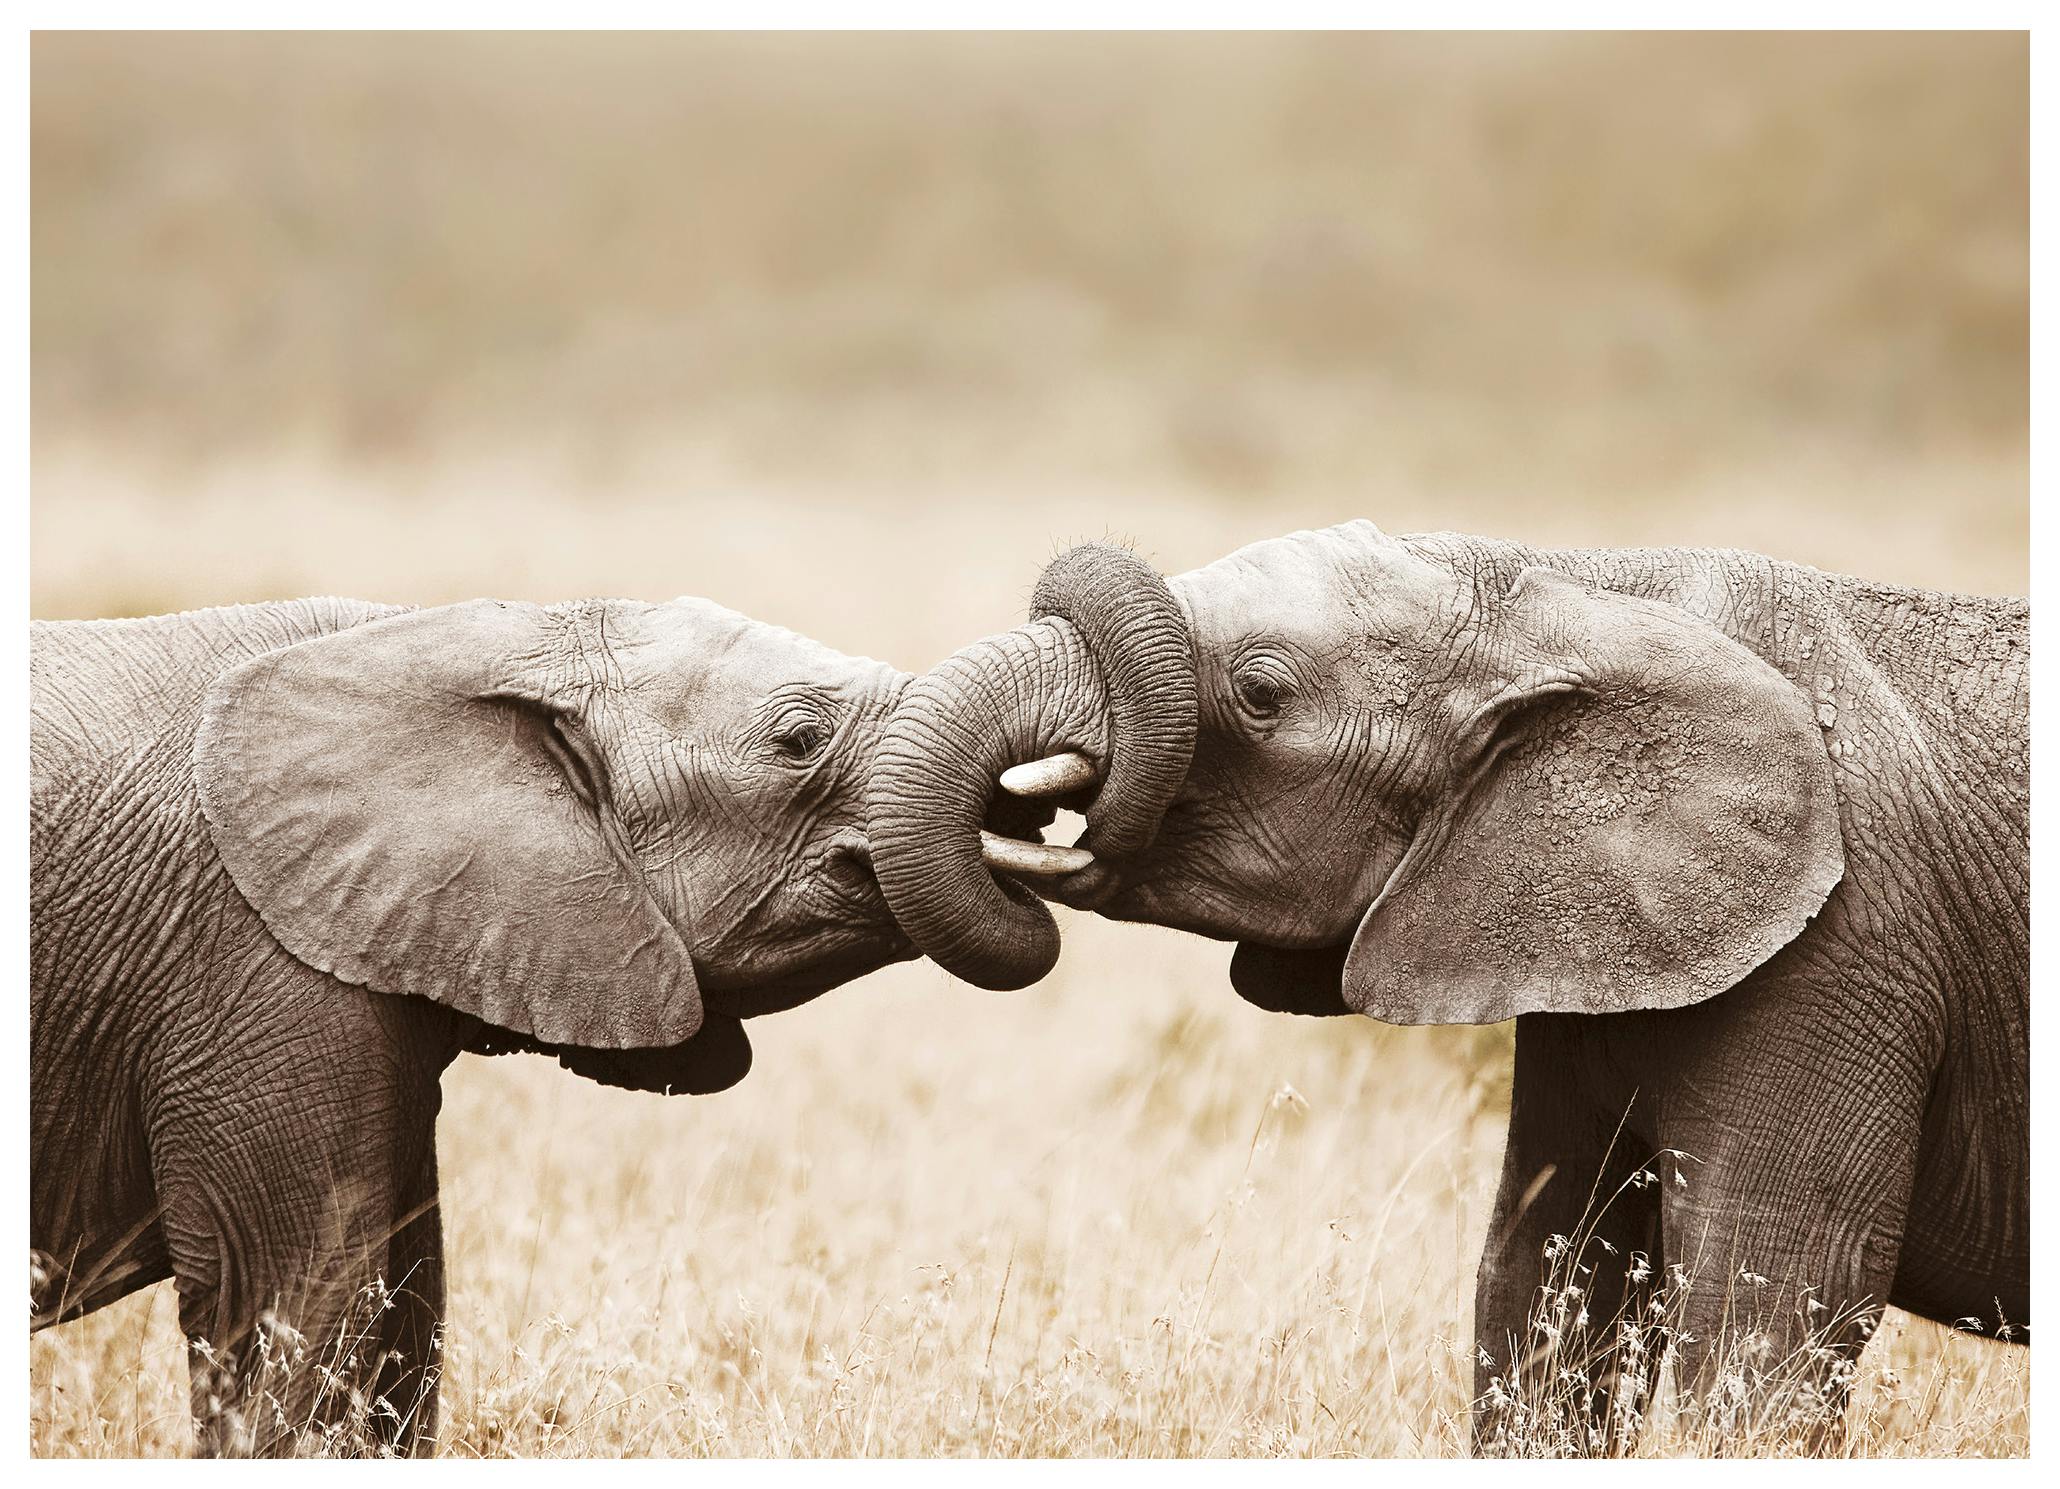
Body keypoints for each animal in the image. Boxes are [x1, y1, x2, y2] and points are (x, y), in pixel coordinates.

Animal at [867, 523, 2028, 1450]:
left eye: (1260, 694)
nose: (1023, 817)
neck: (1574, 587)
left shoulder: (1840, 951)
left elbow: (1774, 1298)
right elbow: (1549, 1276)